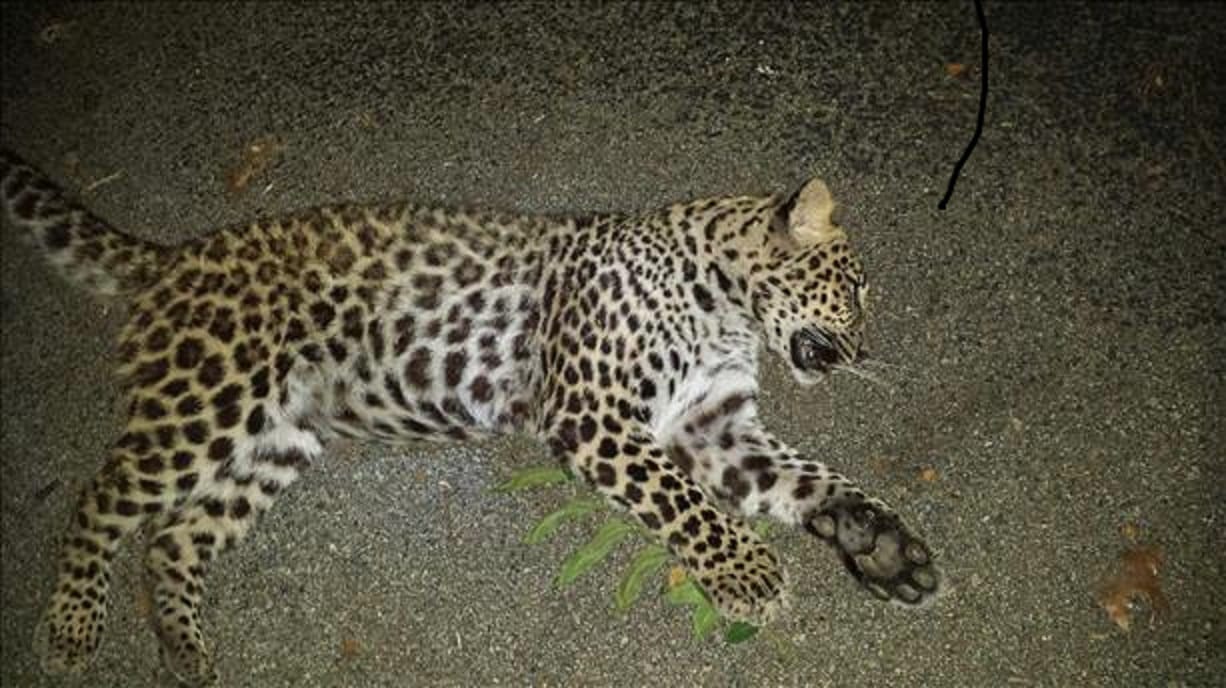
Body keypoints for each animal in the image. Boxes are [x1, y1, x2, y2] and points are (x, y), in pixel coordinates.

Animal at [1, 147, 939, 686]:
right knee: (101, 501)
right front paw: (748, 574)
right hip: (209, 401)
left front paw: (882, 547)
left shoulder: (714, 424)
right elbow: (683, 503)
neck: (730, 307)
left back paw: (184, 647)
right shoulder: (595, 413)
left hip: (278, 438)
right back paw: (73, 629)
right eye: (853, 290)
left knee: (174, 537)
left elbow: (808, 481)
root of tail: (172, 257)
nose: (862, 349)